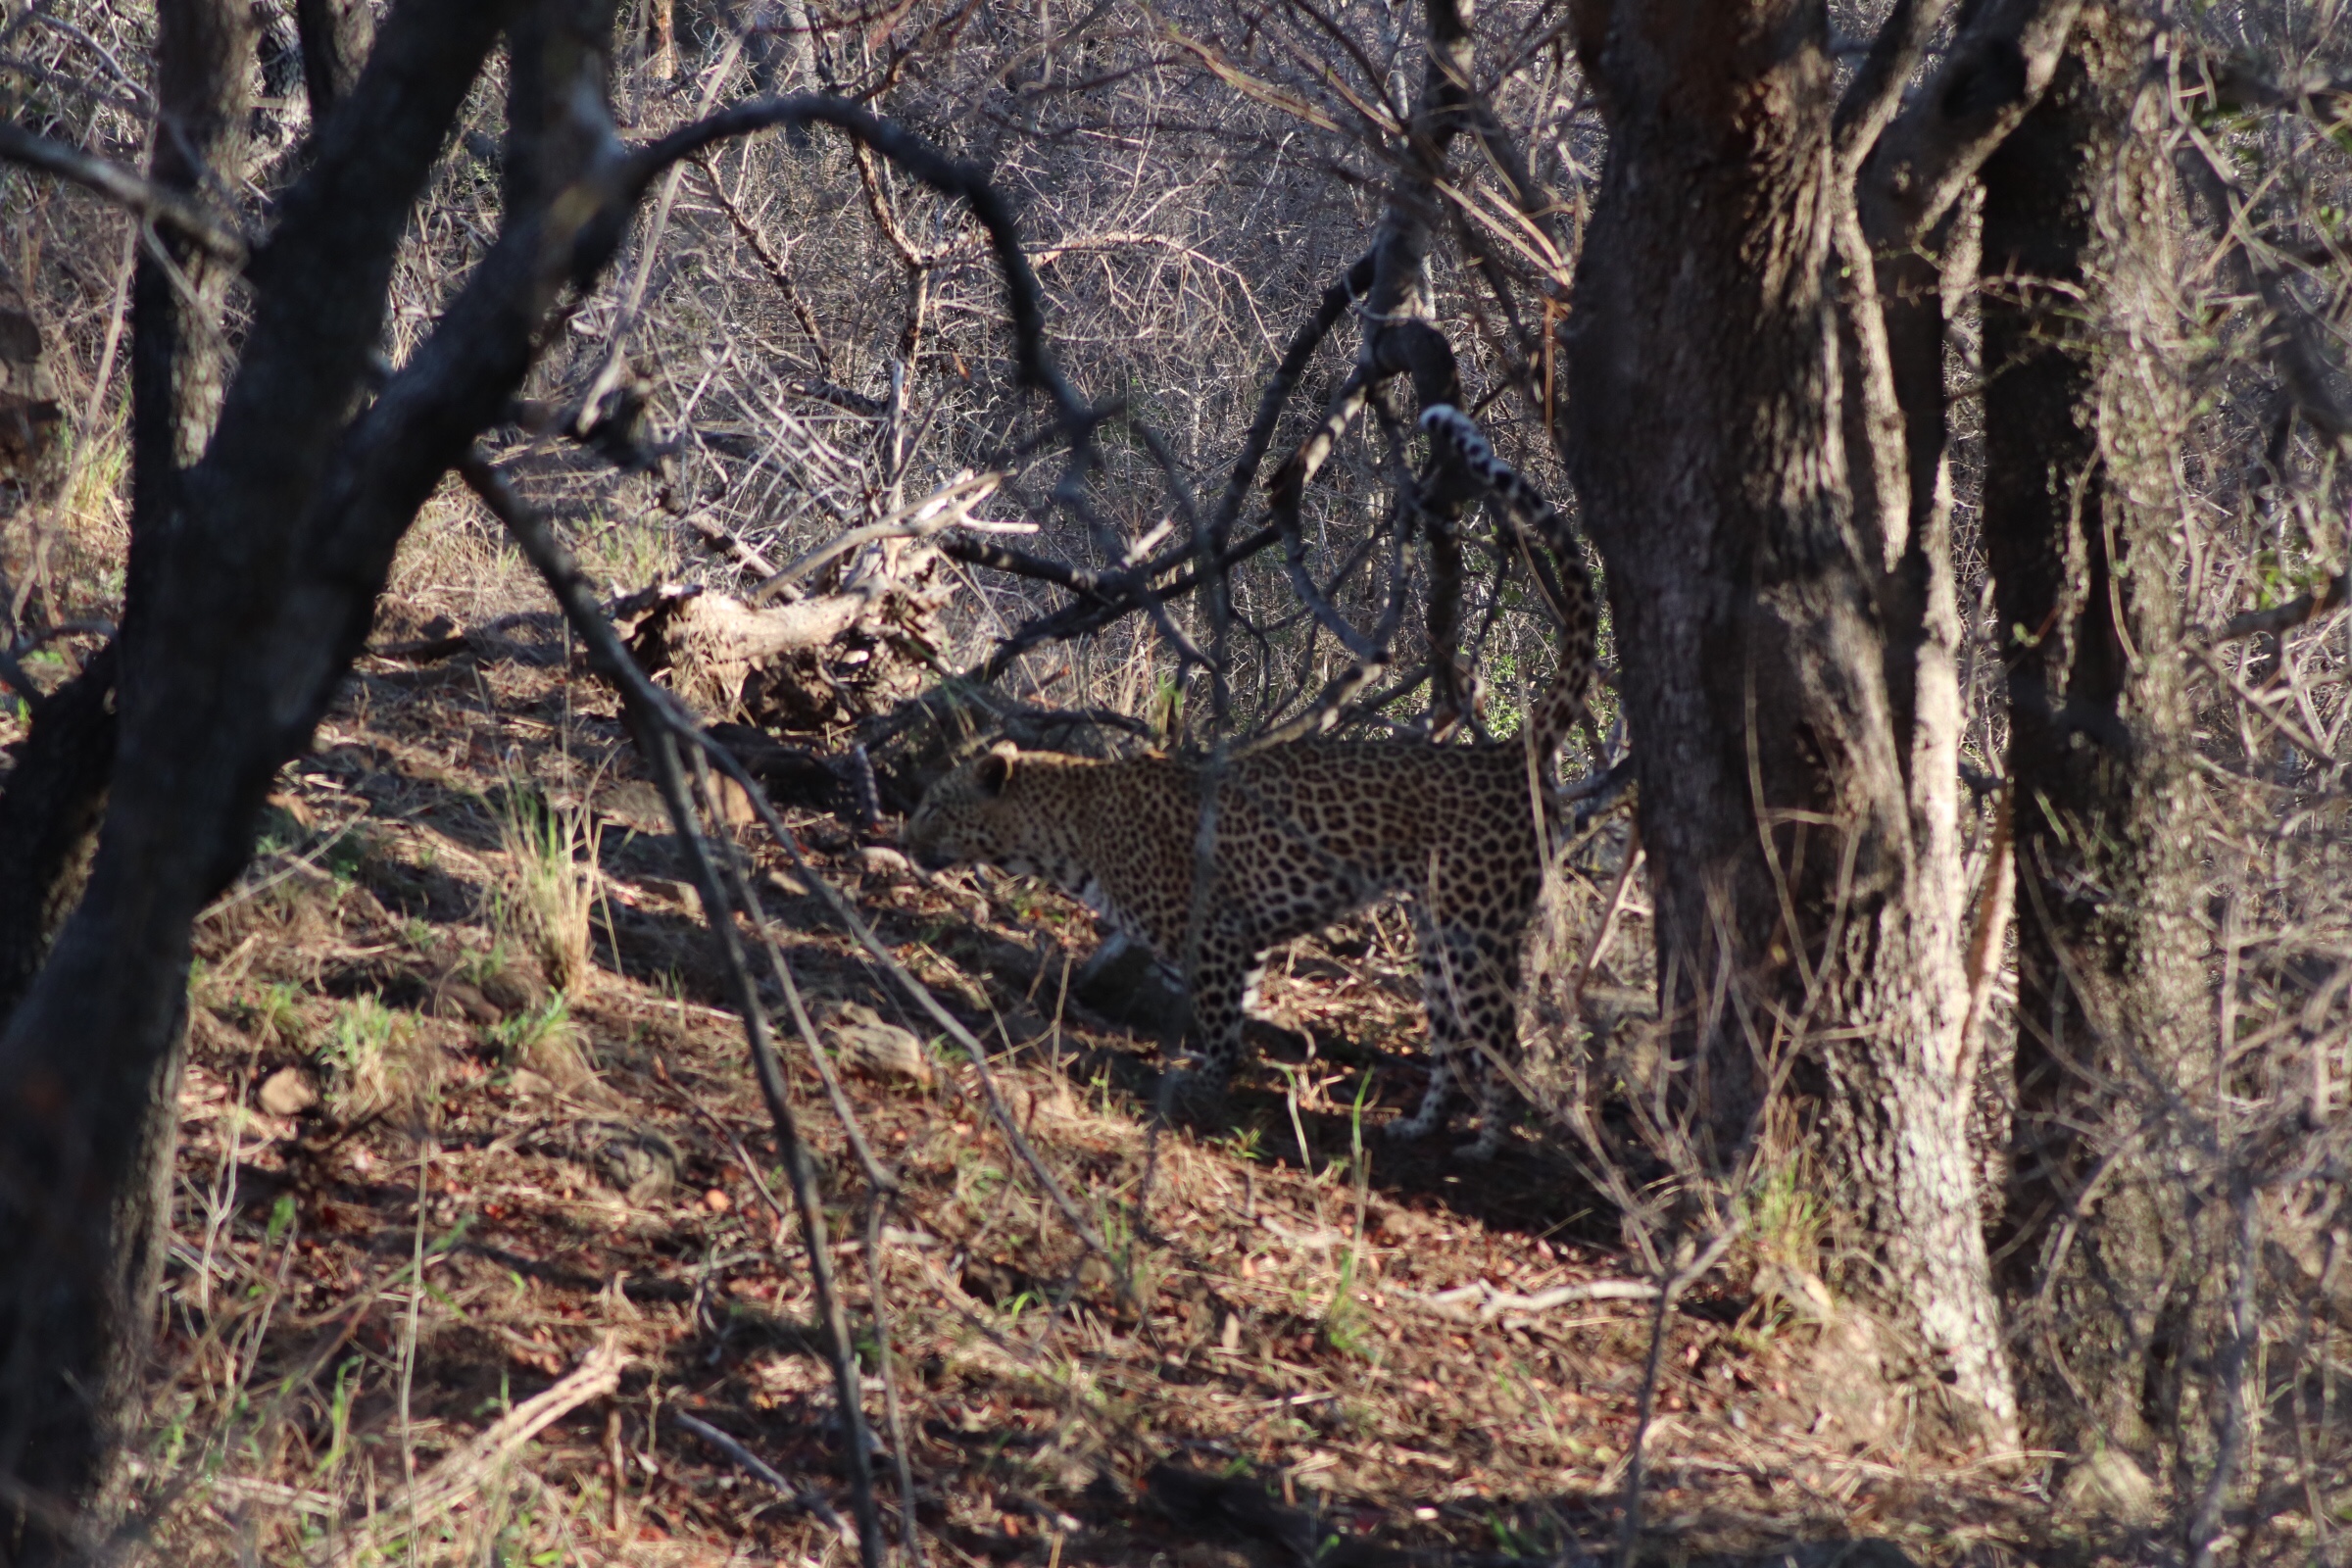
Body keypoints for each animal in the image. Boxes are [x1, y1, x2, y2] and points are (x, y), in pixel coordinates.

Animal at [904, 405, 1598, 1157]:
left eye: (937, 806)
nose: (903, 834)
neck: (1065, 830)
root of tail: (1505, 753)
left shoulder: (1211, 932)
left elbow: (1216, 1022)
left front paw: (1200, 1087)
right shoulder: (1245, 938)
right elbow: (1232, 1011)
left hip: (1478, 929)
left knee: (1504, 1043)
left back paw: (1487, 1144)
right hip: (1435, 930)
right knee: (1451, 1040)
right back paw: (1419, 1126)